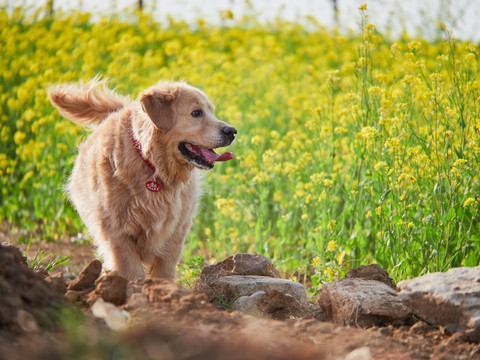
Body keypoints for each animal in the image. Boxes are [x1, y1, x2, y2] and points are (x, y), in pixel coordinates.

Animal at [48, 78, 236, 282]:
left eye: (212, 111)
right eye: (196, 113)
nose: (232, 131)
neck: (152, 165)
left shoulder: (174, 234)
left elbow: (164, 271)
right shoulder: (117, 234)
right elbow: (131, 271)